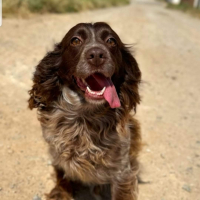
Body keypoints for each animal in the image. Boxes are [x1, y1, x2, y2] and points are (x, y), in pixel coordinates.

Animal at [28, 22, 142, 200]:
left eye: (111, 41)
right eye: (75, 40)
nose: (96, 55)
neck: (84, 117)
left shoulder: (122, 171)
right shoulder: (57, 151)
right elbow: (62, 173)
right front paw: (61, 192)